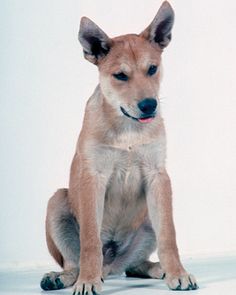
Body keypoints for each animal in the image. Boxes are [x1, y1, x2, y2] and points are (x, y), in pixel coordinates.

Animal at [41, 1, 199, 294]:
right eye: (120, 76)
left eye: (152, 69)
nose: (149, 105)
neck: (128, 130)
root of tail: (111, 266)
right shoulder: (93, 178)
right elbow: (90, 241)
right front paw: (88, 281)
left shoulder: (158, 177)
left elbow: (169, 236)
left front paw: (178, 273)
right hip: (57, 201)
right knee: (73, 262)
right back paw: (64, 277)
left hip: (148, 218)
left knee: (135, 264)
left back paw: (158, 269)